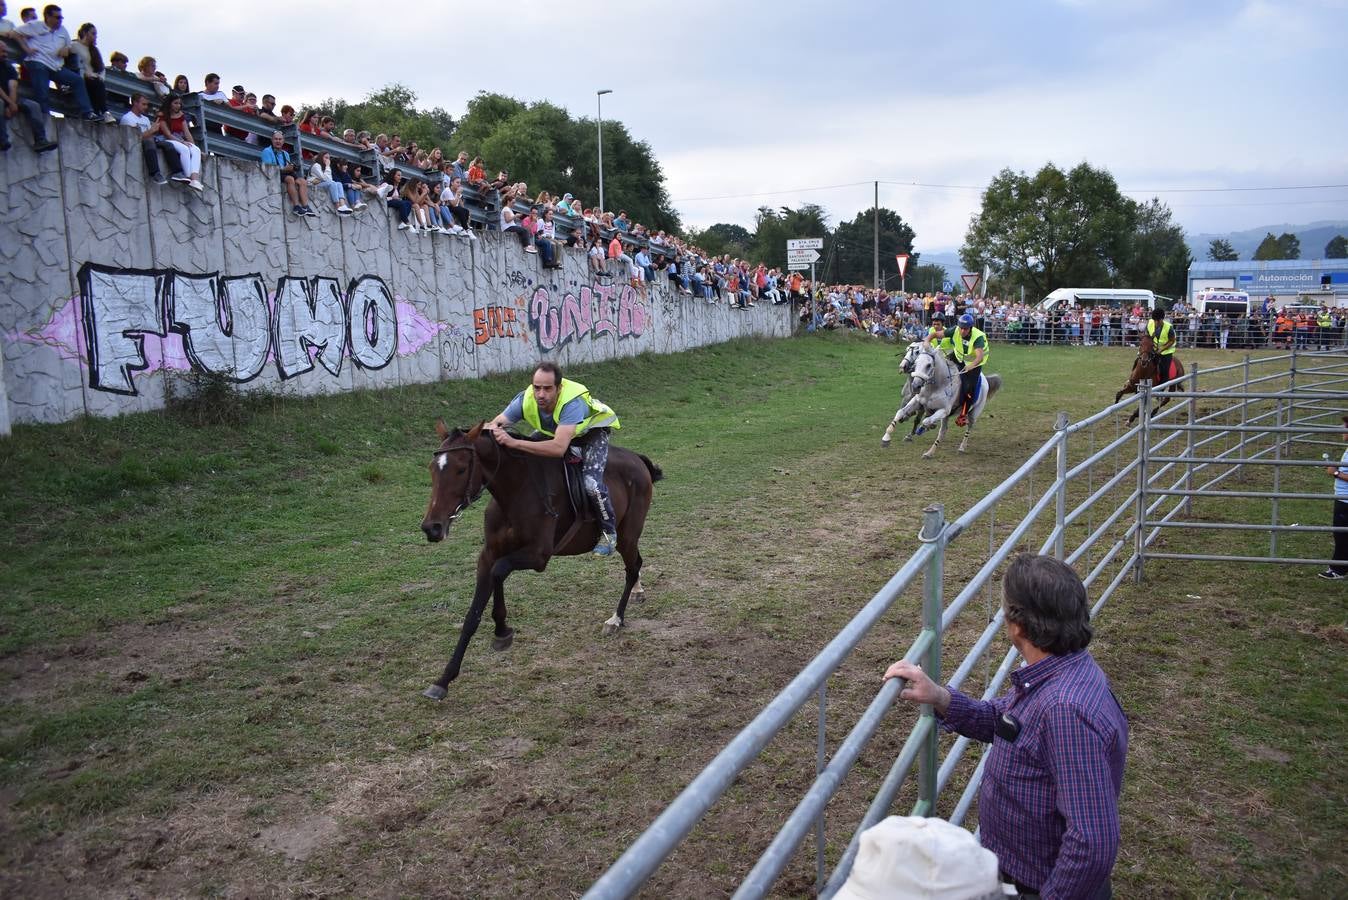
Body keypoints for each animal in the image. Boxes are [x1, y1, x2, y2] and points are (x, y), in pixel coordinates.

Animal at [419, 421, 663, 699]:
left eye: (460, 469)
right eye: (432, 469)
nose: (432, 527)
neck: (515, 490)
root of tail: (638, 460)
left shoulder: (538, 556)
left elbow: (499, 571)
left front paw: (501, 630)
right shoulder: (488, 554)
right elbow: (473, 614)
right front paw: (444, 679)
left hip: (626, 535)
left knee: (632, 567)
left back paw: (616, 619)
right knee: (636, 565)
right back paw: (637, 593)